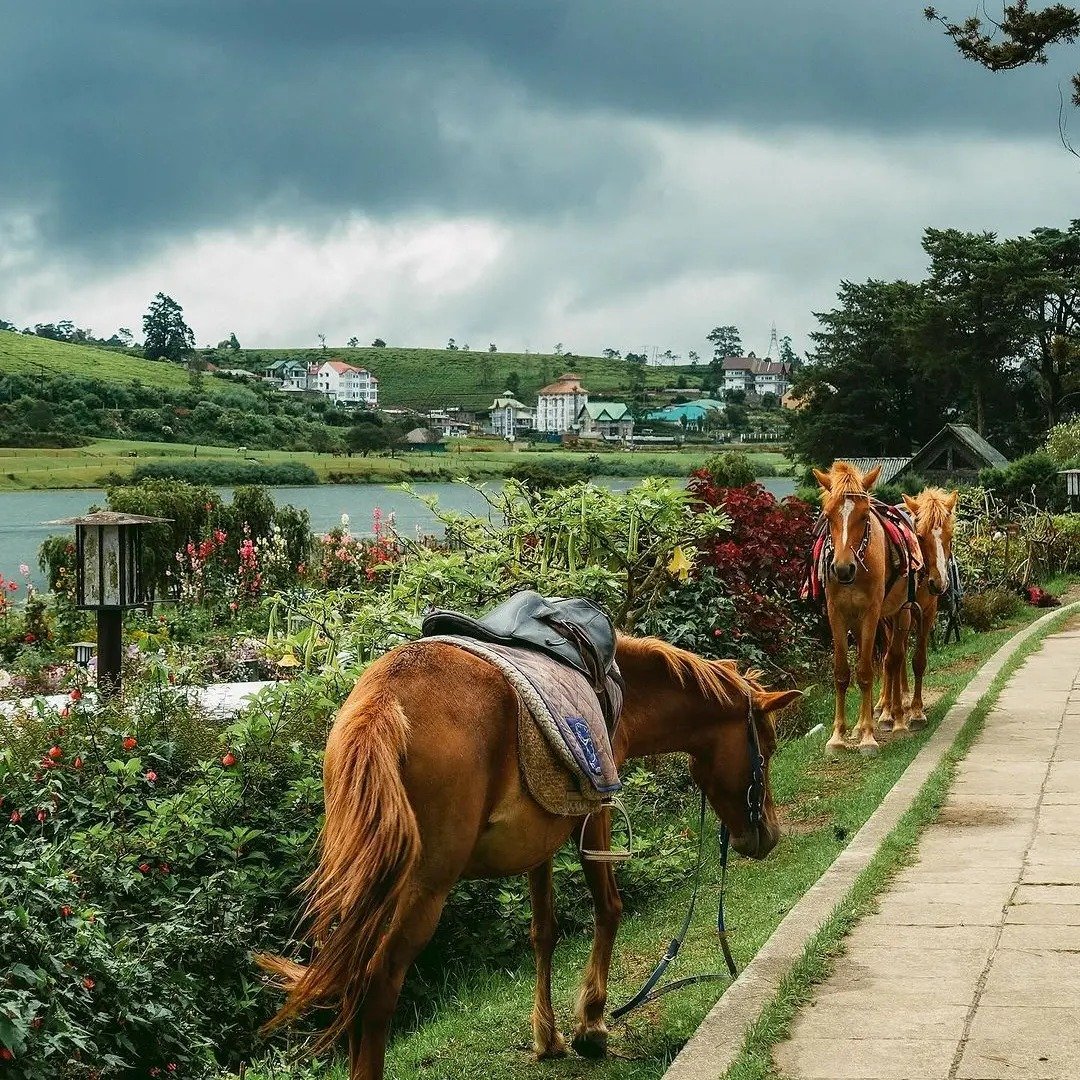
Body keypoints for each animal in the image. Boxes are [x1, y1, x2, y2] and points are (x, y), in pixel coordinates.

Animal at [257, 630, 799, 1080]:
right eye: (768, 747)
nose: (767, 835)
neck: (622, 692)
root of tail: (382, 702)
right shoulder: (596, 811)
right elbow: (609, 908)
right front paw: (591, 1025)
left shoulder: (541, 833)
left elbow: (544, 931)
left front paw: (548, 1036)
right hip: (423, 890)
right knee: (377, 985)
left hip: (368, 885)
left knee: (352, 980)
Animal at [812, 460, 915, 756]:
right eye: (828, 515)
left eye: (864, 515)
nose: (843, 568)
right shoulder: (837, 614)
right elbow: (842, 673)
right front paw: (838, 736)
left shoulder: (871, 614)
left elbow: (867, 672)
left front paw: (868, 737)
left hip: (899, 613)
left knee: (895, 658)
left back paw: (896, 719)